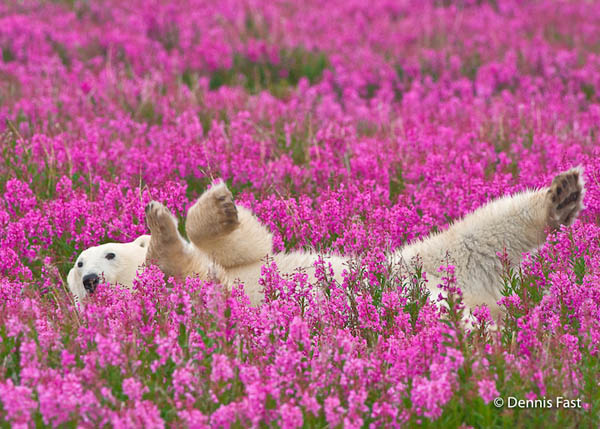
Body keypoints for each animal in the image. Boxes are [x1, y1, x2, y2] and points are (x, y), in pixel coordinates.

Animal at [68, 167, 584, 318]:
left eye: (105, 253)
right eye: (77, 266)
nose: (90, 278)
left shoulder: (235, 265)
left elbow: (249, 246)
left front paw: (211, 206)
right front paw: (162, 231)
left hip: (421, 263)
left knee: (481, 231)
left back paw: (561, 195)